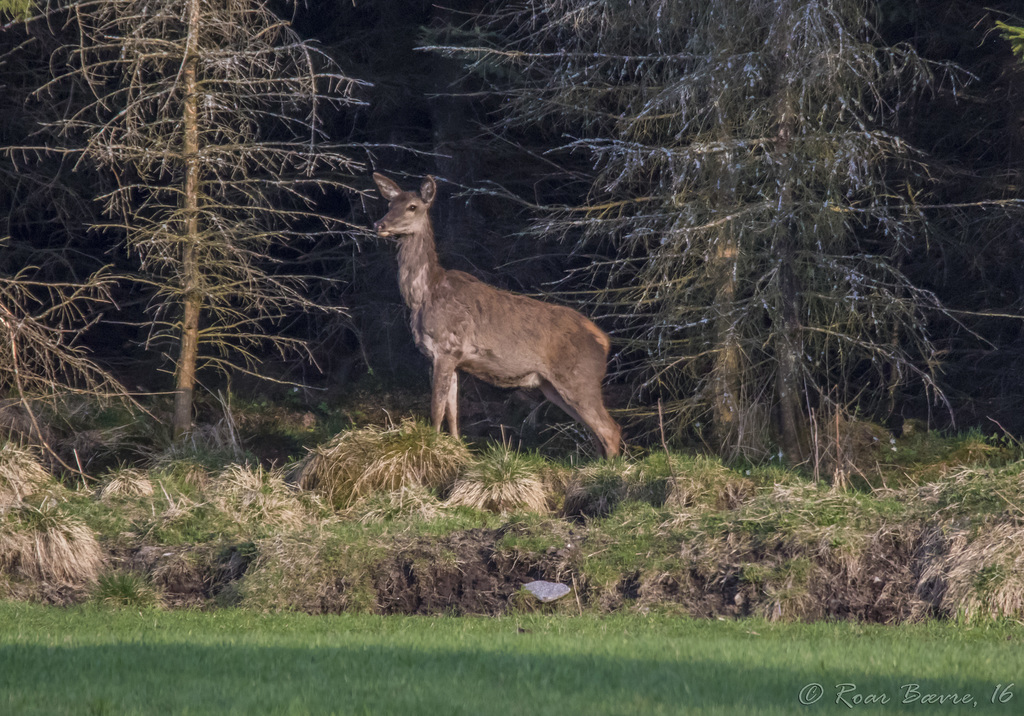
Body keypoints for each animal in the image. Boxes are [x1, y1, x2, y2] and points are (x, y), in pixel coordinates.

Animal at [372, 171, 618, 456]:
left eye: (412, 207)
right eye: (390, 204)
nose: (379, 224)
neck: (423, 295)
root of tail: (605, 341)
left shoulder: (445, 348)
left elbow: (436, 410)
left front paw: (432, 448)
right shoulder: (453, 358)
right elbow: (453, 413)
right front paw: (457, 449)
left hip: (579, 378)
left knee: (610, 430)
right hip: (553, 386)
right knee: (598, 434)